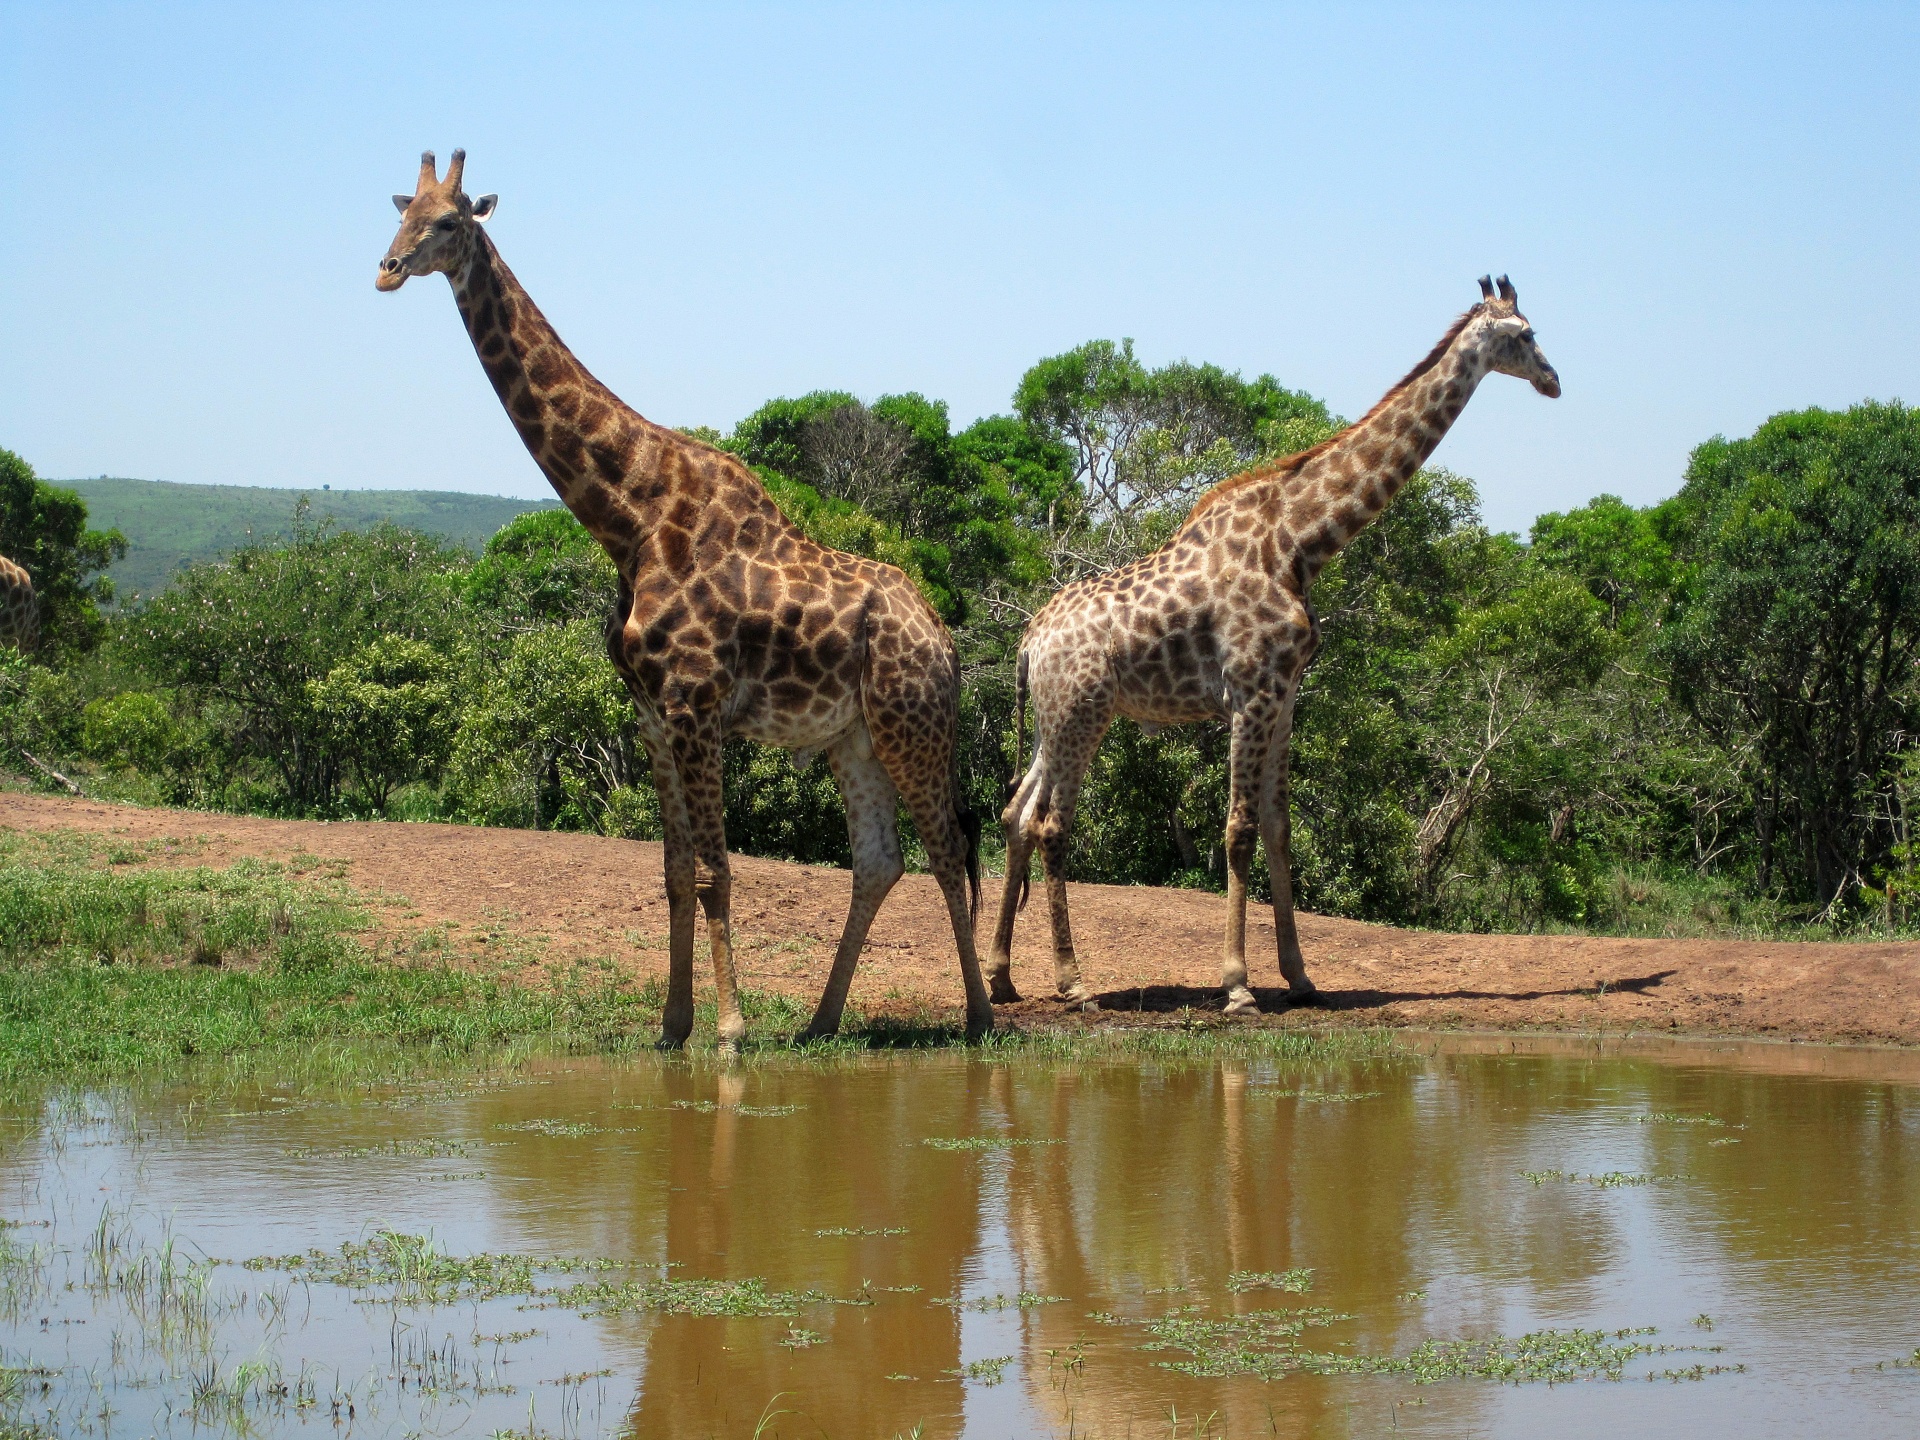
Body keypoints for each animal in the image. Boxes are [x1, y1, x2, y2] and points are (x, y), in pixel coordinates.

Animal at [374, 149, 990, 1052]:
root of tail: (946, 643)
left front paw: (730, 1030)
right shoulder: (652, 713)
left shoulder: (696, 706)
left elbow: (713, 869)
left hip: (913, 722)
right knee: (880, 860)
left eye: (448, 221)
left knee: (947, 847)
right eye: (399, 213)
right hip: (854, 738)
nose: (386, 269)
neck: (627, 517)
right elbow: (670, 871)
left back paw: (981, 1016)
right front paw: (673, 1027)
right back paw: (820, 1021)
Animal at [990, 278, 1559, 1013]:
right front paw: (1237, 985)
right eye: (1525, 334)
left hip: (1051, 720)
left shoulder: (1287, 694)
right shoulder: (1251, 690)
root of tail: (1030, 641)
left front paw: (1301, 977)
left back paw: (1002, 975)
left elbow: (1279, 830)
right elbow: (1237, 830)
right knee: (1051, 825)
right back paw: (1073, 982)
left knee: (1015, 814)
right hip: (1084, 712)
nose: (1553, 380)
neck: (1298, 544)